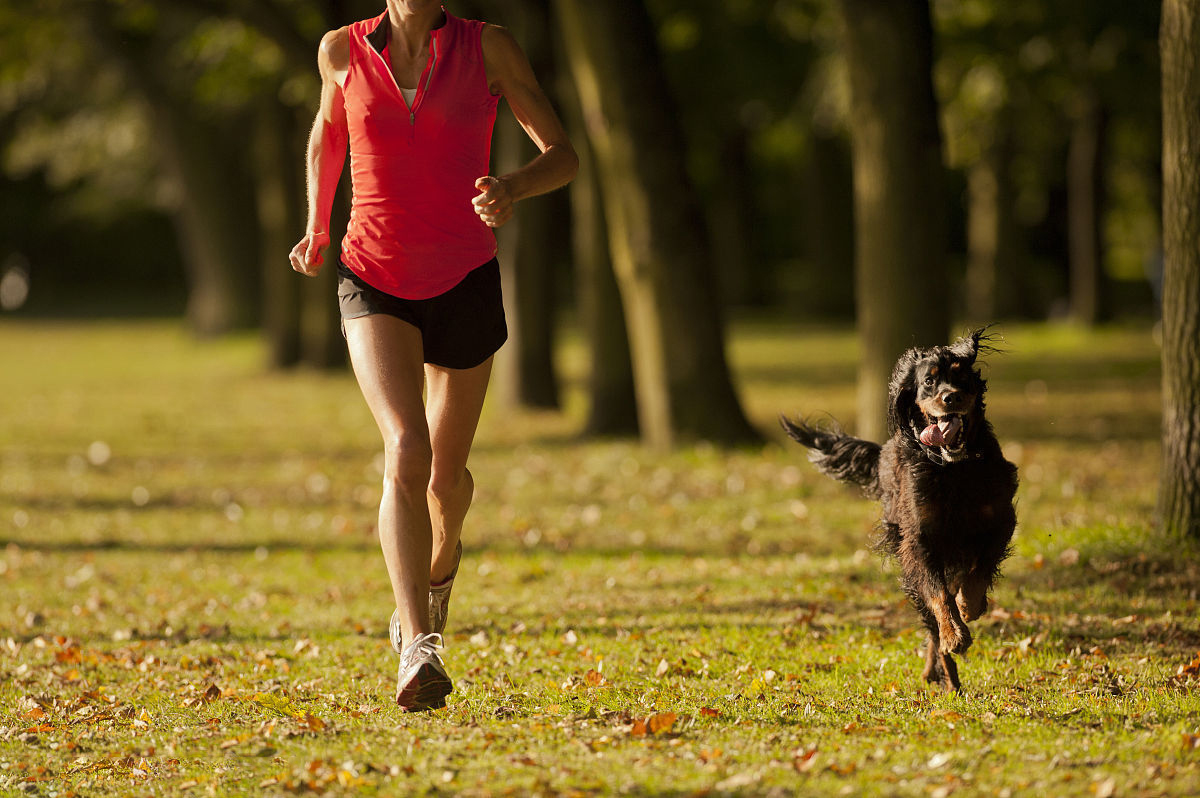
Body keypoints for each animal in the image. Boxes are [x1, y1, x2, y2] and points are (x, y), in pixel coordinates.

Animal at [777, 328, 1022, 691]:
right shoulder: (918, 540)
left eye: (962, 377)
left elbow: (981, 568)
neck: (955, 469)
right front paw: (954, 633)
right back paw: (947, 675)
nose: (951, 398)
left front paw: (970, 603)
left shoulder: (1001, 519)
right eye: (929, 382)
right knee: (931, 620)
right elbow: (938, 595)